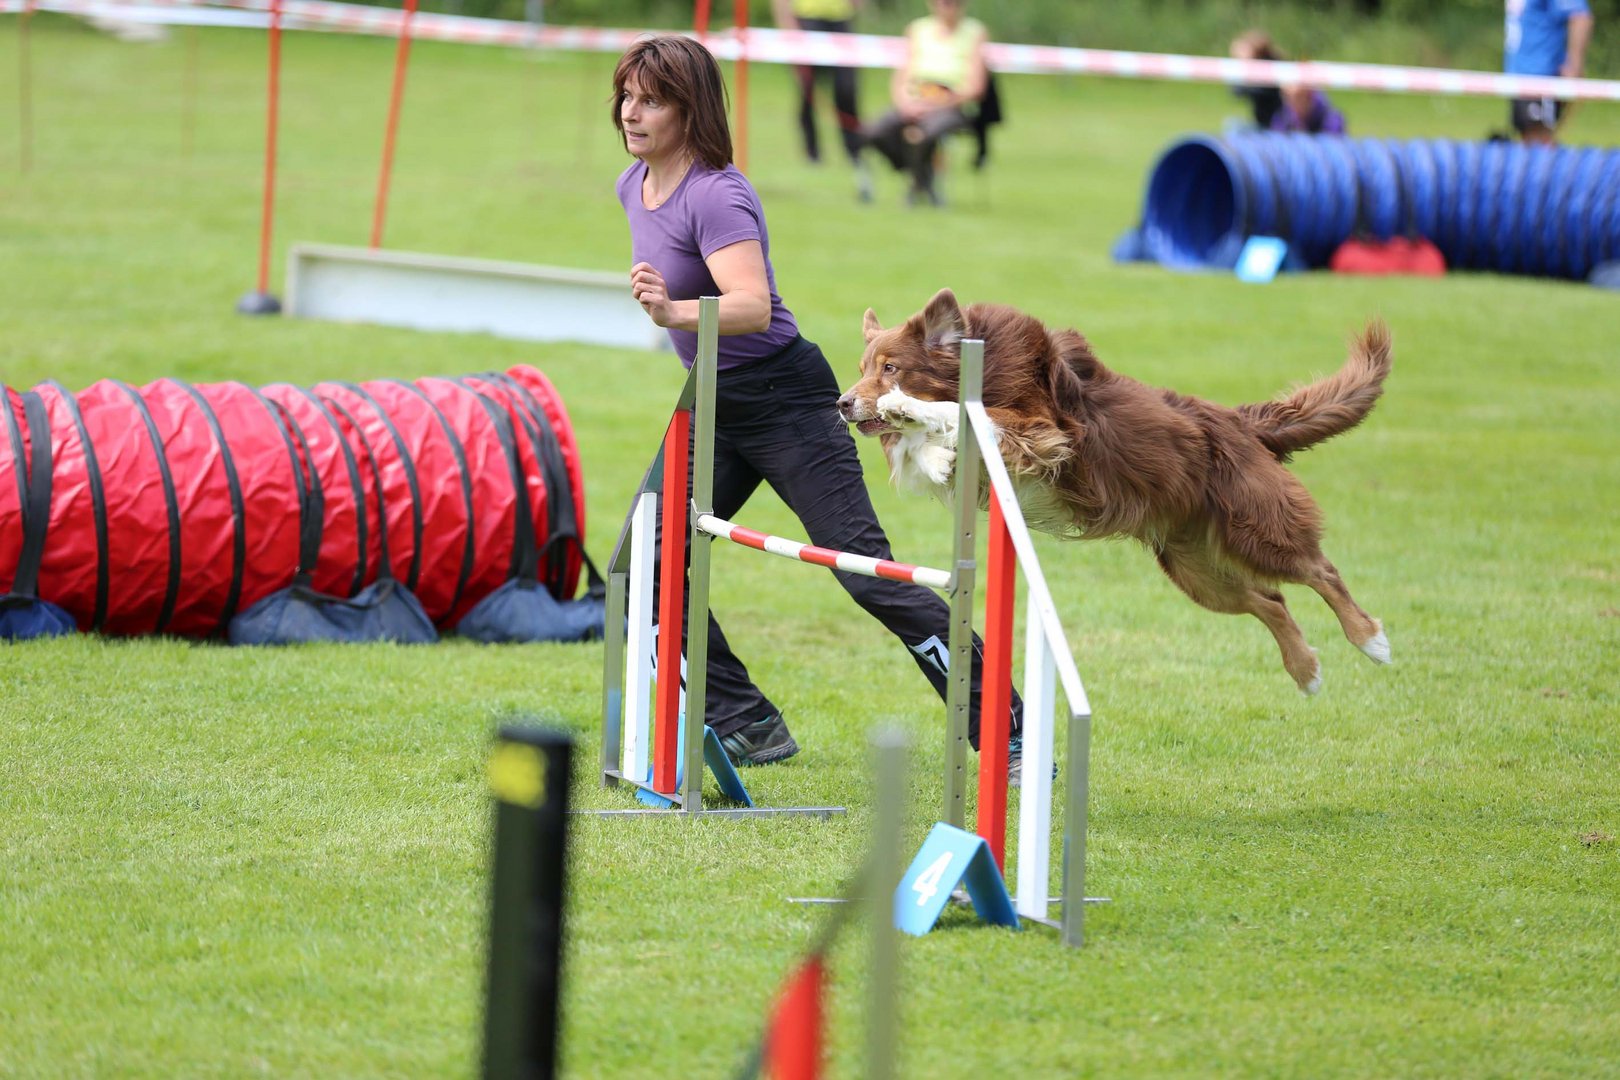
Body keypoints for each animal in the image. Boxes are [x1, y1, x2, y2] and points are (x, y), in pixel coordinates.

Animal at [835, 289, 1393, 693]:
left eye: (890, 368)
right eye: (862, 369)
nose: (842, 403)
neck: (980, 359)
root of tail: (1239, 421)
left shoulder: (1042, 429)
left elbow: (955, 412)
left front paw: (908, 408)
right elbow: (928, 447)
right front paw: (933, 454)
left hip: (1253, 528)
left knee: (1319, 570)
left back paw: (1371, 641)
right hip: (1195, 568)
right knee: (1270, 600)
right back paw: (1306, 671)